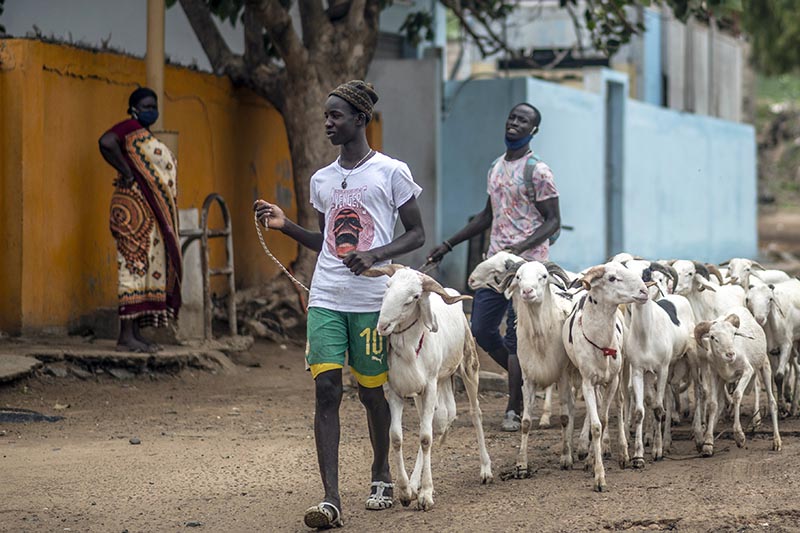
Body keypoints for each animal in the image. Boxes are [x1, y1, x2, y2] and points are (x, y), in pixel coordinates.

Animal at [364, 264, 494, 510]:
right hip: (427, 389)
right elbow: (396, 437)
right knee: (440, 419)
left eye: (414, 297)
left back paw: (486, 470)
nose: (383, 326)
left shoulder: (431, 386)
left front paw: (426, 495)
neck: (410, 351)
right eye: (388, 286)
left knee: (475, 414)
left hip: (468, 366)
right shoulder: (396, 392)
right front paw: (406, 492)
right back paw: (414, 483)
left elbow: (425, 438)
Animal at [560, 262, 648, 490]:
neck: (600, 343)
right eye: (612, 278)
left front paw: (596, 462)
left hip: (621, 373)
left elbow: (605, 419)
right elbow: (596, 425)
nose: (644, 291)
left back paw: (622, 453)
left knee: (619, 403)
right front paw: (598, 474)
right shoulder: (587, 382)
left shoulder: (613, 380)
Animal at [692, 306, 780, 456]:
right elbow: (713, 404)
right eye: (713, 337)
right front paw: (708, 444)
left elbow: (737, 395)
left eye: (734, 333)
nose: (730, 354)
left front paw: (739, 437)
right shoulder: (714, 374)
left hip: (764, 365)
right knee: (720, 404)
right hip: (722, 380)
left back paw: (777, 442)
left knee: (772, 402)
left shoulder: (747, 371)